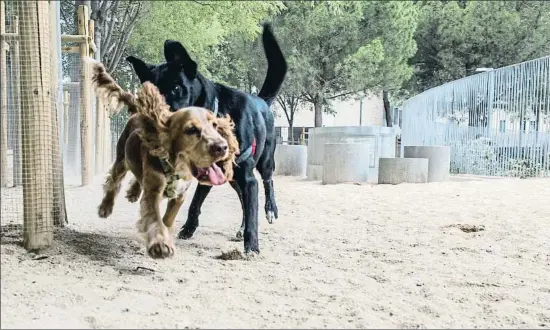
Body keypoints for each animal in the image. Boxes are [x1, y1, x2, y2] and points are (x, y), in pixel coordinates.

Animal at [125, 23, 288, 255]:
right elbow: (195, 202)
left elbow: (252, 210)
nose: (157, 125)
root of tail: (262, 100)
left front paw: (252, 246)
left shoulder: (248, 177)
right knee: (239, 197)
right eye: (149, 97)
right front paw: (188, 228)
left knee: (267, 181)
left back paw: (270, 210)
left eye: (176, 88)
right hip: (231, 177)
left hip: (264, 160)